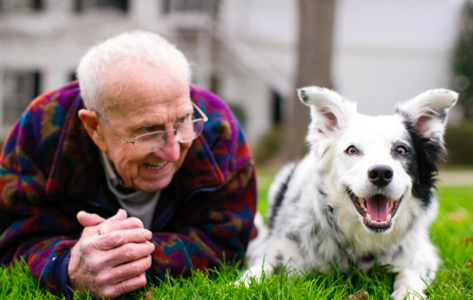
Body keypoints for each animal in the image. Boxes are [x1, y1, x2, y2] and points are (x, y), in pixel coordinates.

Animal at [242, 85, 456, 298]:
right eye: (352, 150)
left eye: (401, 150)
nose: (380, 173)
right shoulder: (272, 248)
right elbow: (257, 271)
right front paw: (239, 285)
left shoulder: (421, 254)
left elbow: (409, 275)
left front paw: (407, 293)